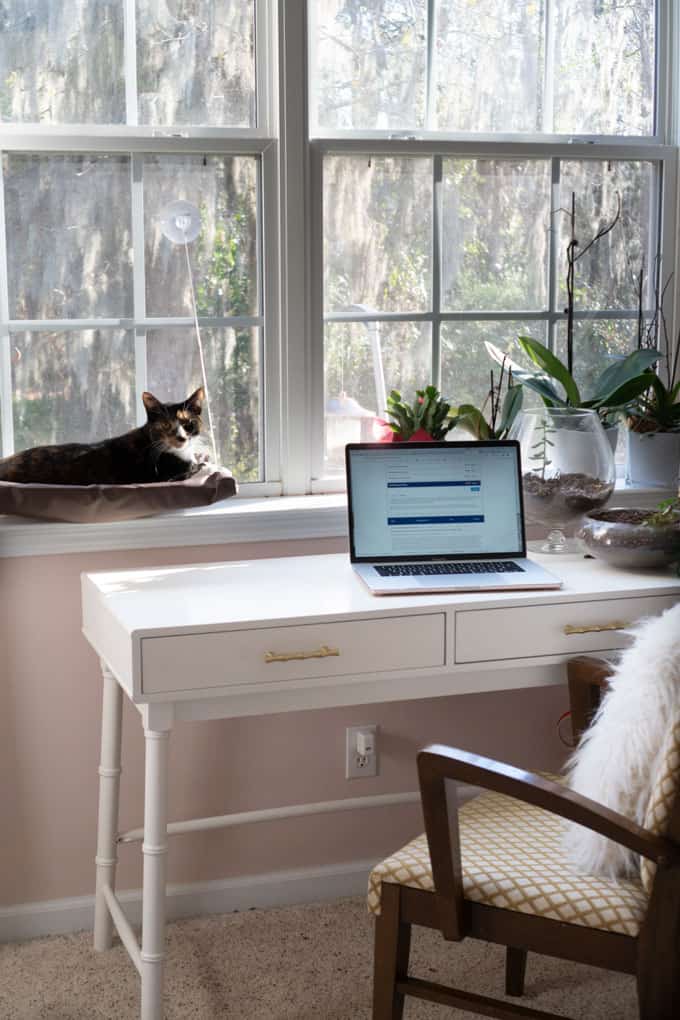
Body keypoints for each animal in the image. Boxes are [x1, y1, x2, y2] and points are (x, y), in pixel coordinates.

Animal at [0, 387, 210, 487]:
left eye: (188, 424)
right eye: (166, 425)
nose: (181, 438)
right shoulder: (166, 476)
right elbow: (195, 467)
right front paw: (202, 462)